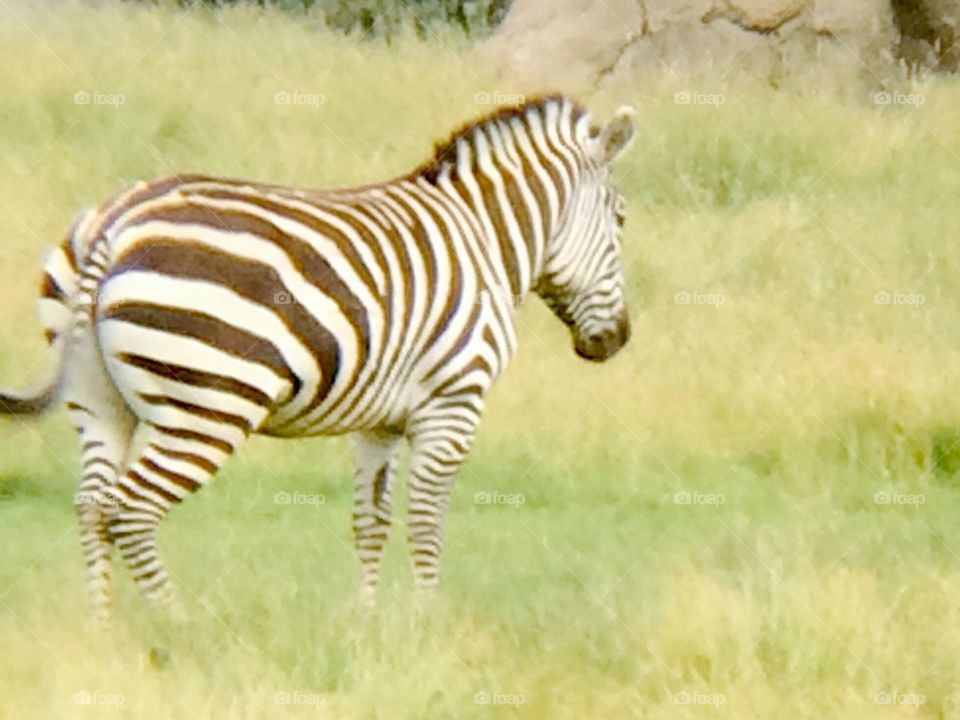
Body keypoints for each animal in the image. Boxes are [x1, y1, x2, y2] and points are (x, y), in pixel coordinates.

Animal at [0, 95, 635, 622]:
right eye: (622, 220)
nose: (618, 340)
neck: (483, 238)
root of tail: (116, 223)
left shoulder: (380, 420)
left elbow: (371, 520)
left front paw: (367, 621)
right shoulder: (454, 401)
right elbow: (426, 519)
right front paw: (428, 620)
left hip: (97, 400)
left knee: (91, 507)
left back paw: (105, 627)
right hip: (206, 407)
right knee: (130, 511)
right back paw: (175, 625)